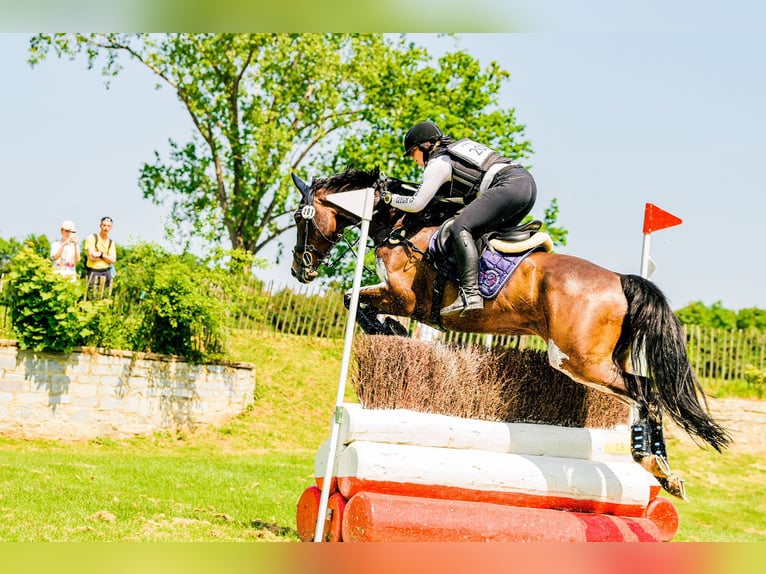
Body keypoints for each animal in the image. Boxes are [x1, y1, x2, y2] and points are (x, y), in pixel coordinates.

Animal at [289, 167, 730, 499]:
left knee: (646, 392)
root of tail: (620, 280)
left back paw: (653, 463)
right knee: (642, 392)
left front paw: (388, 327)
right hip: (598, 360)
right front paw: (390, 330)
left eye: (299, 218)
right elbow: (356, 301)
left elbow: (354, 298)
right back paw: (664, 472)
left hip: (579, 361)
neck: (401, 225)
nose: (300, 269)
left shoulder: (405, 296)